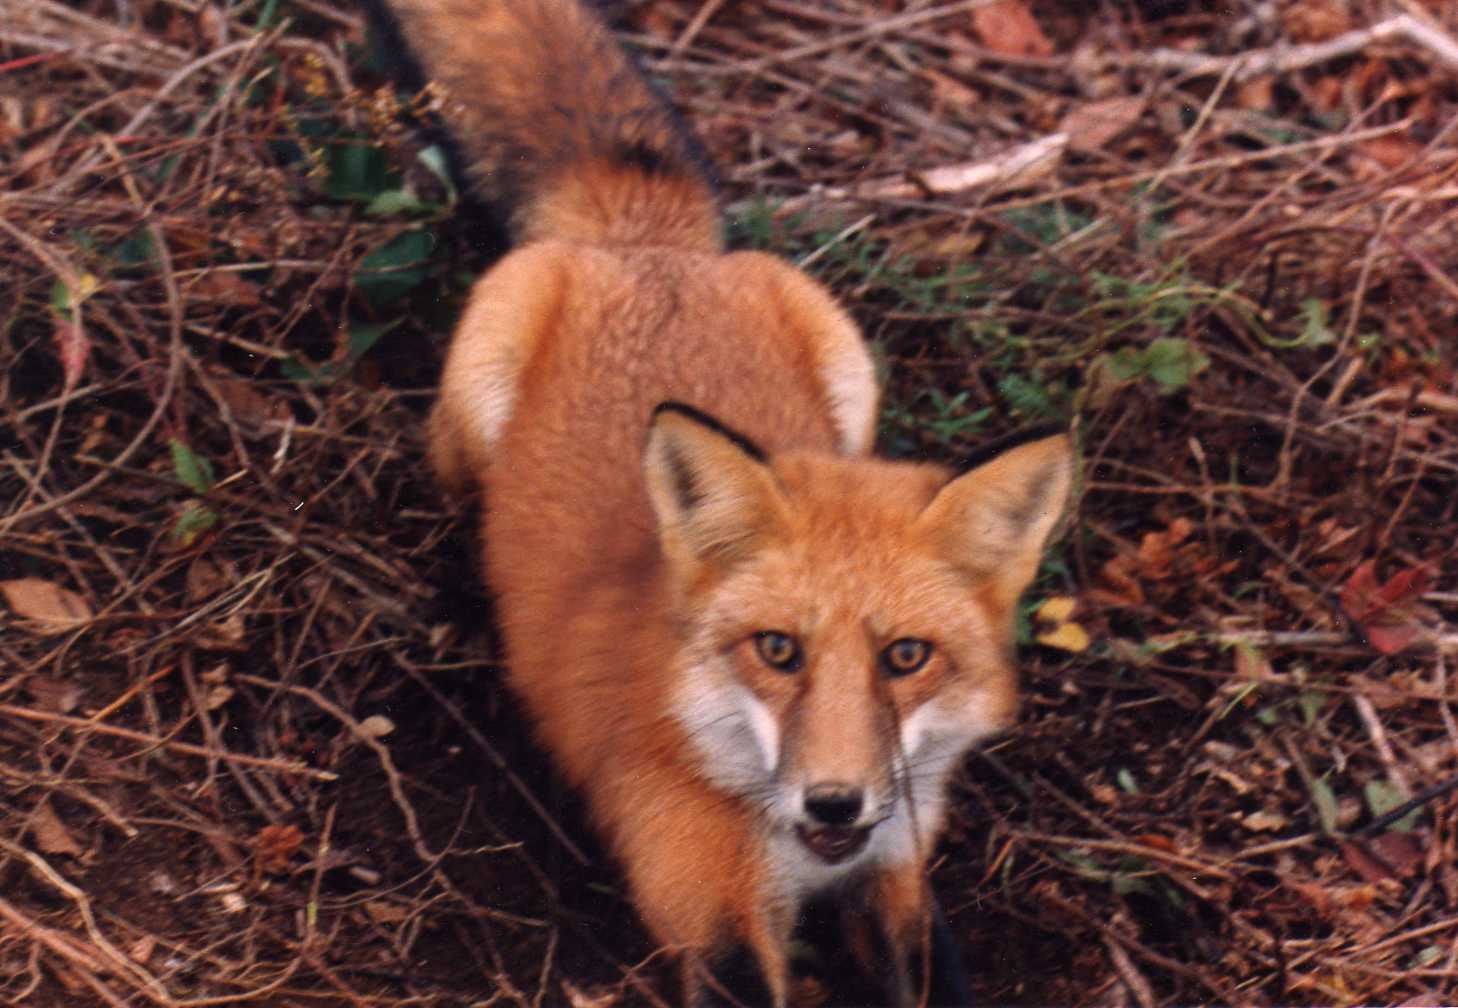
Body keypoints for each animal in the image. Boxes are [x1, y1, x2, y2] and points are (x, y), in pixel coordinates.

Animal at [378, 0, 1075, 1003]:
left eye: (906, 656)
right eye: (777, 650)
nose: (837, 799)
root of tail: (648, 250)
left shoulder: (897, 871)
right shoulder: (704, 907)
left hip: (851, 372)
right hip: (474, 394)